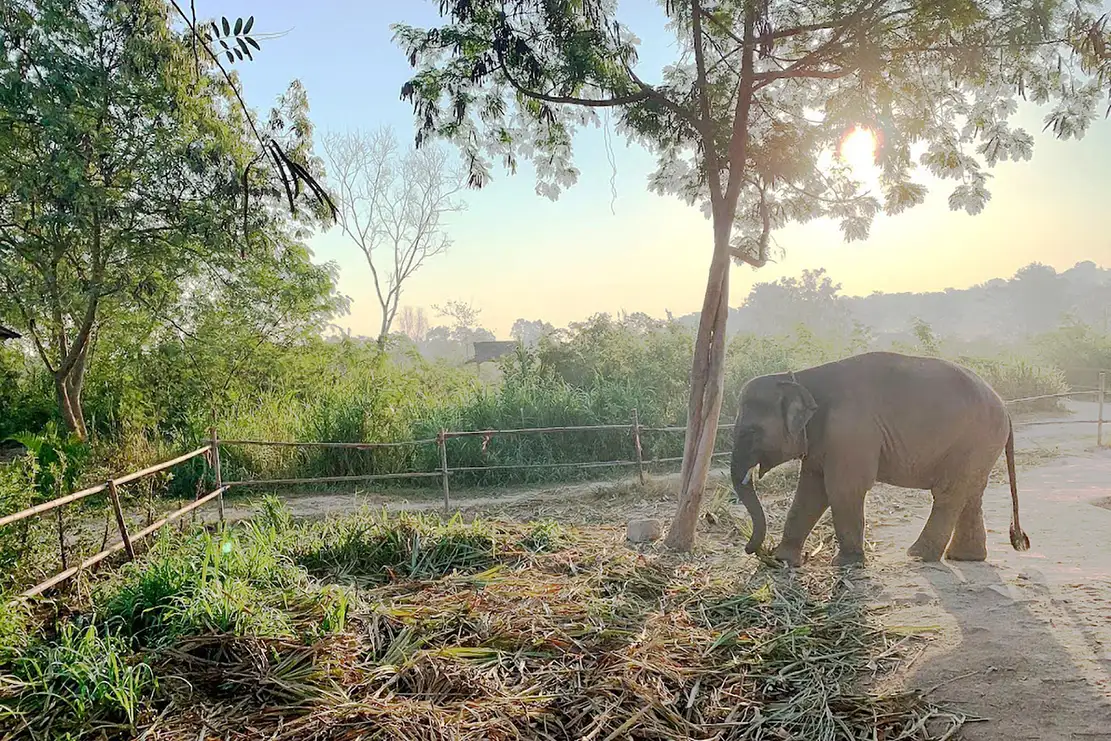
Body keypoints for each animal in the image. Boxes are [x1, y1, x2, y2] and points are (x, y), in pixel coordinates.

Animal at [729, 350, 1031, 567]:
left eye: (750, 432)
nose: (755, 550)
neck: (800, 378)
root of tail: (1005, 409)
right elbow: (810, 491)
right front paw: (784, 561)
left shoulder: (850, 431)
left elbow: (843, 488)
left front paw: (847, 564)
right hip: (981, 446)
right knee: (971, 494)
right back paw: (964, 558)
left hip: (973, 441)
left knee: (949, 494)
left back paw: (918, 555)